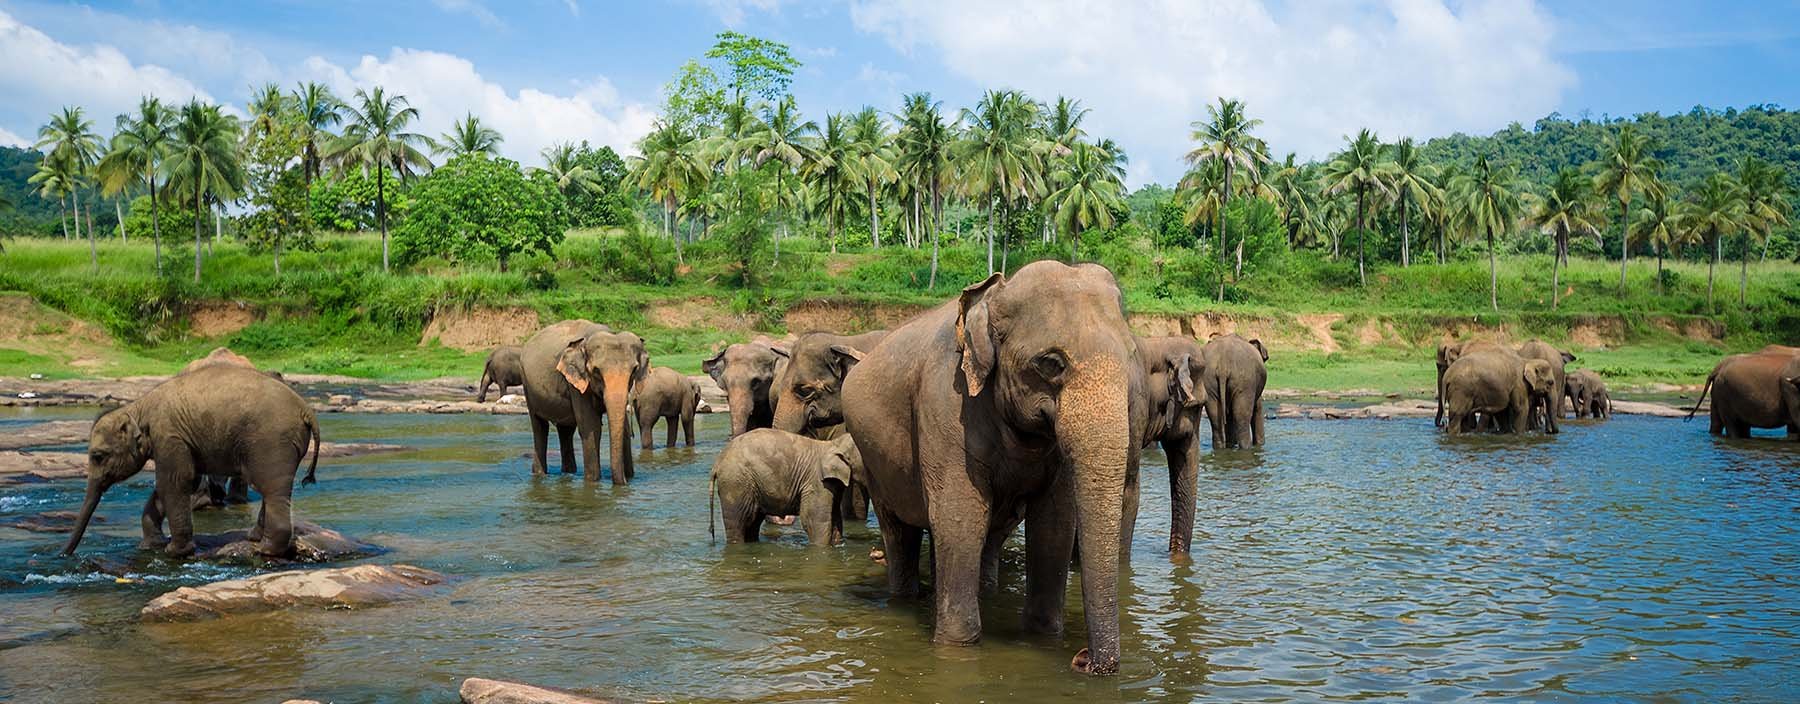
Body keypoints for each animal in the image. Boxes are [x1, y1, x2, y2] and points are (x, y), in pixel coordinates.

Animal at [62, 364, 320, 558]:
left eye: (98, 456)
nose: (65, 554)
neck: (137, 408)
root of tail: (306, 410)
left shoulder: (169, 437)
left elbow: (174, 482)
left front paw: (175, 552)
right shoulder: (179, 443)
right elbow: (177, 483)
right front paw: (150, 546)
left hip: (272, 442)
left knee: (272, 488)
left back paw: (266, 550)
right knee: (272, 488)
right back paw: (254, 538)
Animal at [519, 320, 647, 484]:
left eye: (634, 370)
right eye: (596, 371)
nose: (624, 481)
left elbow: (622, 427)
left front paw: (629, 478)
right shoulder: (576, 383)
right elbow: (591, 426)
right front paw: (592, 481)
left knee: (565, 430)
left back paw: (568, 473)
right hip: (527, 386)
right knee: (539, 427)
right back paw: (540, 474)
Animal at [709, 428, 861, 545]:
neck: (833, 444)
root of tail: (717, 462)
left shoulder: (833, 483)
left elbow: (836, 517)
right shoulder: (816, 482)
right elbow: (813, 519)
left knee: (752, 523)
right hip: (735, 483)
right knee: (739, 523)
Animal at [843, 261, 1145, 676]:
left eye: (1131, 356)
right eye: (1051, 363)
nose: (1083, 659)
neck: (996, 294)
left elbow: (1054, 522)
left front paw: (1043, 638)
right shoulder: (945, 403)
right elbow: (960, 515)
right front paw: (957, 649)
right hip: (873, 459)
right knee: (900, 532)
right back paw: (906, 600)